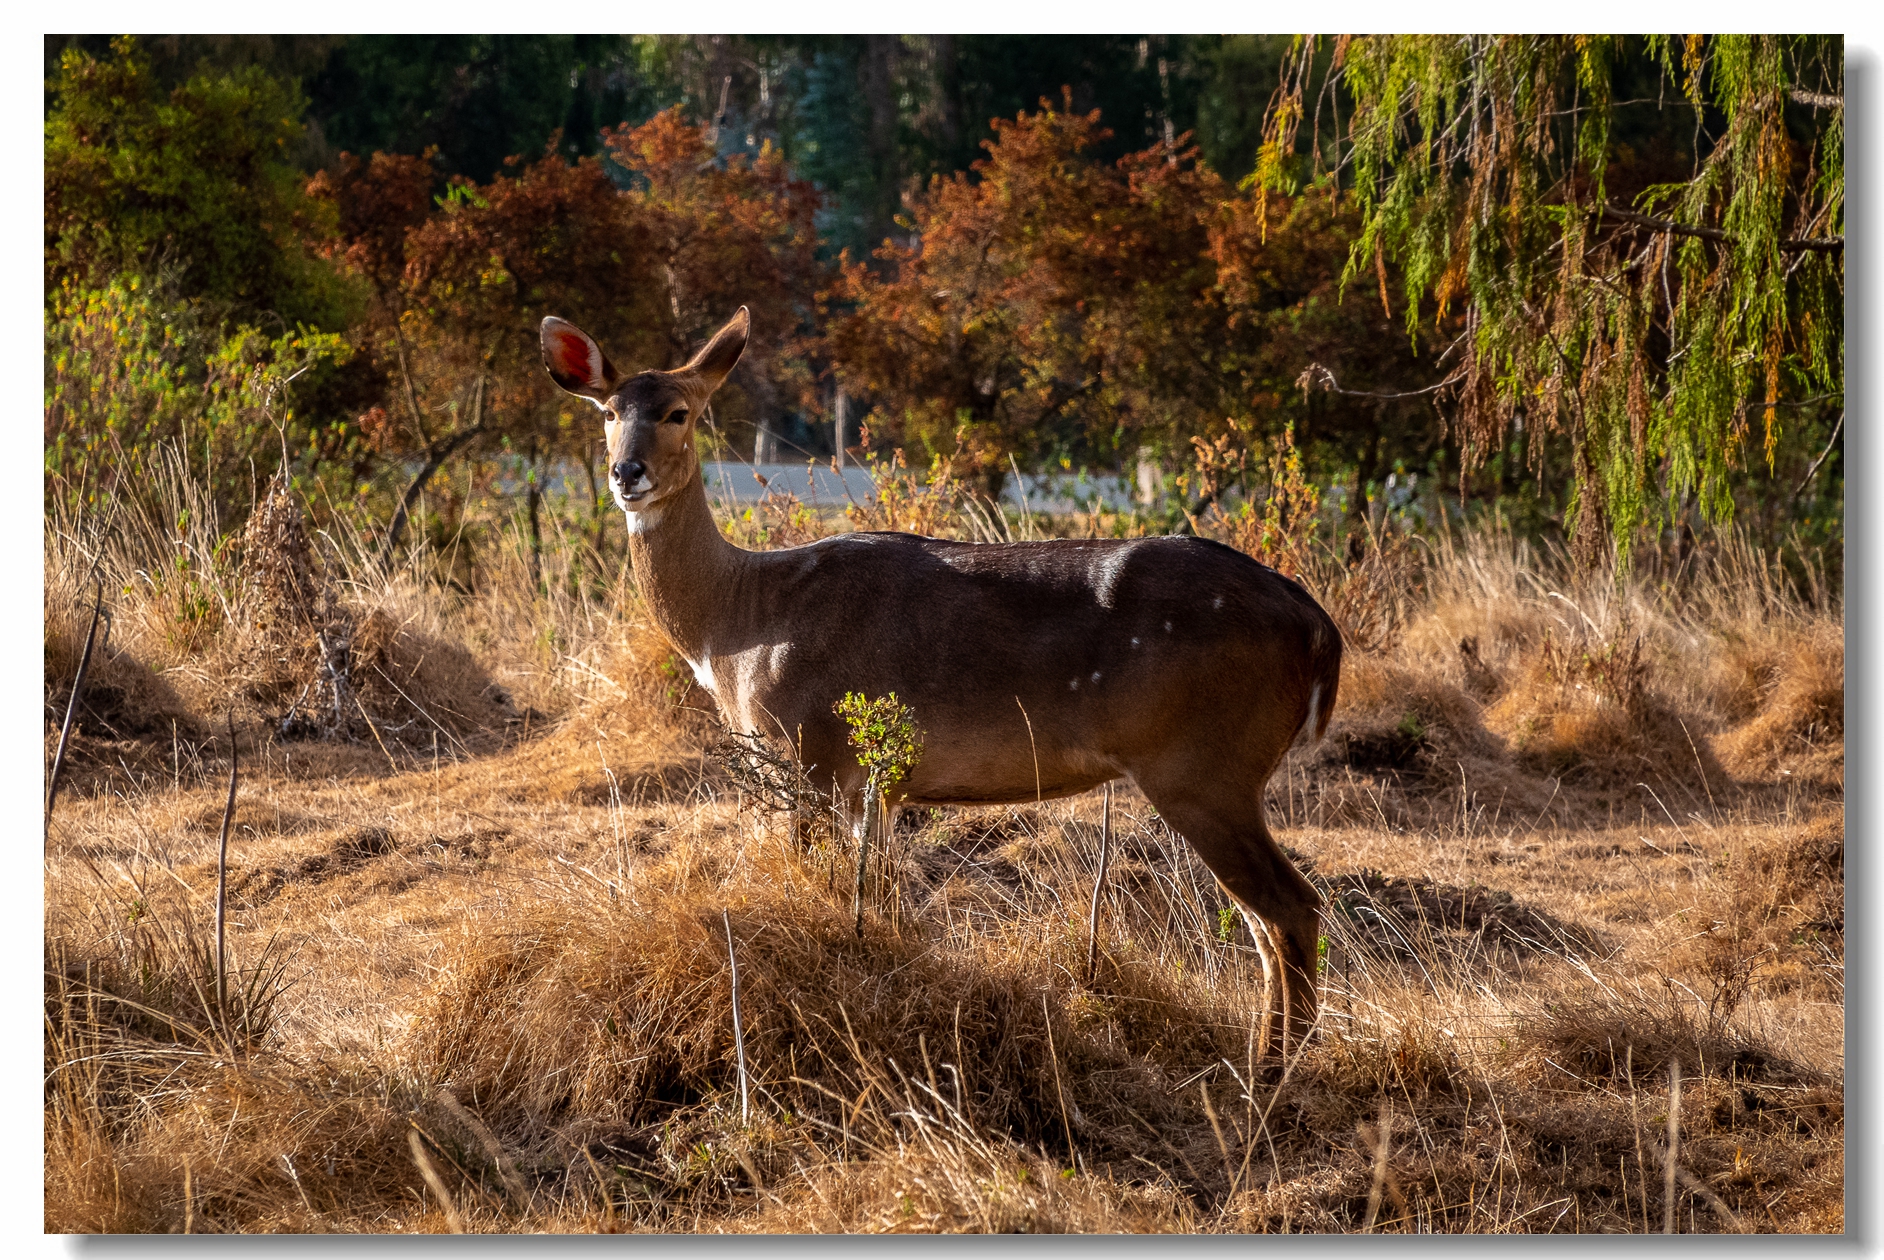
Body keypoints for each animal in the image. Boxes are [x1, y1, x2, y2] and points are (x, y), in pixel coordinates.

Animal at [538, 306, 1348, 1062]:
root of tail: (1317, 629)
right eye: (608, 413)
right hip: (1218, 773)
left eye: (679, 411)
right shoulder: (874, 788)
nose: (626, 474)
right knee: (1268, 921)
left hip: (1203, 765)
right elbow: (881, 899)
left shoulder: (810, 754)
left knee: (1291, 909)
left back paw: (1268, 1082)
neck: (737, 628)